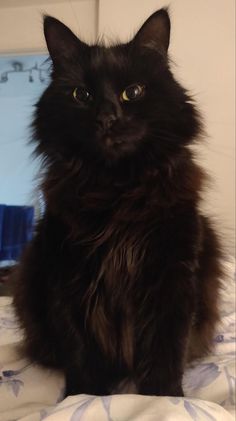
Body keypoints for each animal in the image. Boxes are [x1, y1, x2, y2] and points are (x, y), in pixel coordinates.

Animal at [12, 10, 223, 398]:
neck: (116, 189)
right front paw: (82, 396)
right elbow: (79, 349)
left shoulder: (172, 273)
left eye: (132, 92)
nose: (107, 118)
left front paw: (164, 397)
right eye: (82, 94)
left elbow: (165, 347)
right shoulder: (67, 273)